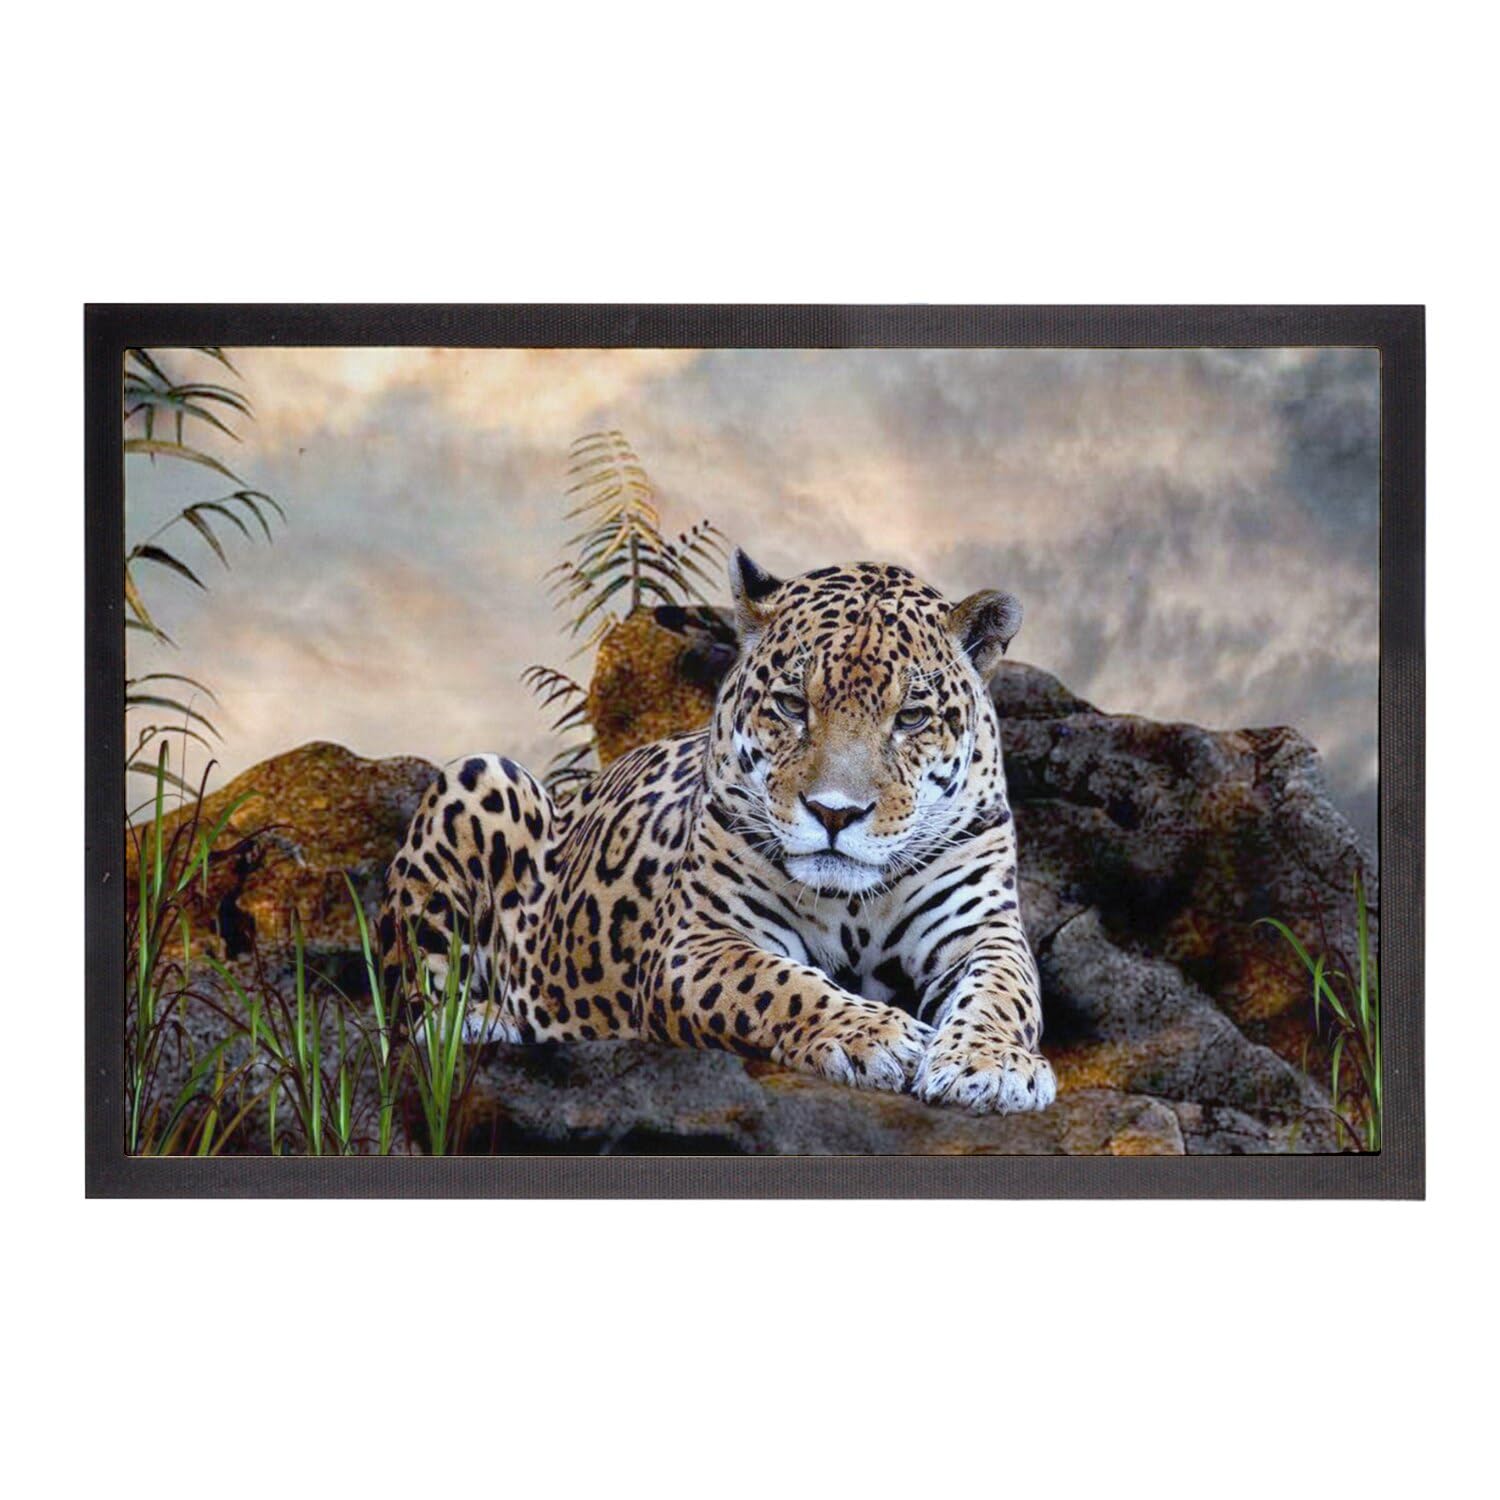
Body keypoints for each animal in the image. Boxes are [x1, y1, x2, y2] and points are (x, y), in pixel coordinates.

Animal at [378, 551, 1056, 1113]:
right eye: (792, 705)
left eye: (911, 718)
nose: (835, 813)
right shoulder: (697, 943)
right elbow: (779, 985)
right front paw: (879, 1035)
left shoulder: (983, 930)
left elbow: (1004, 992)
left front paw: (991, 1065)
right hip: (478, 776)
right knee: (410, 1012)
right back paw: (482, 1022)